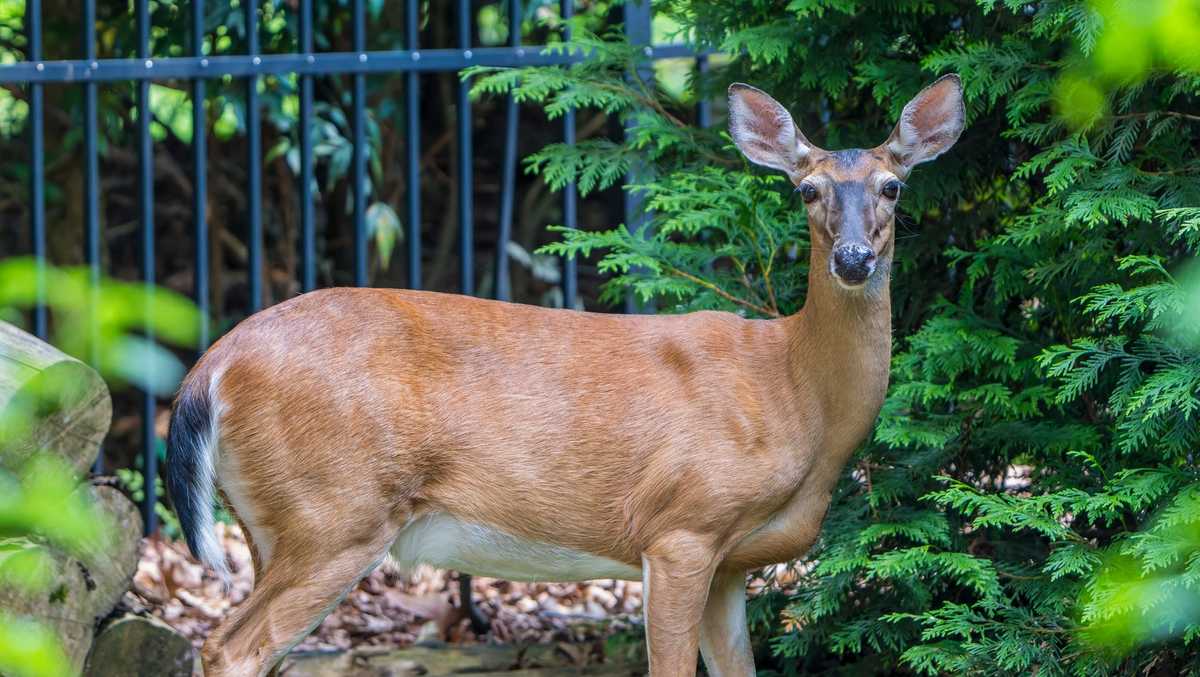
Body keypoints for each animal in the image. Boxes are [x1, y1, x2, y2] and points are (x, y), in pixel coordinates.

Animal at [165, 74, 964, 676]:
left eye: (892, 187)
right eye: (807, 190)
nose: (854, 259)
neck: (793, 390)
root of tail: (212, 366)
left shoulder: (733, 563)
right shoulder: (682, 525)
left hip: (280, 522)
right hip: (335, 510)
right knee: (232, 648)